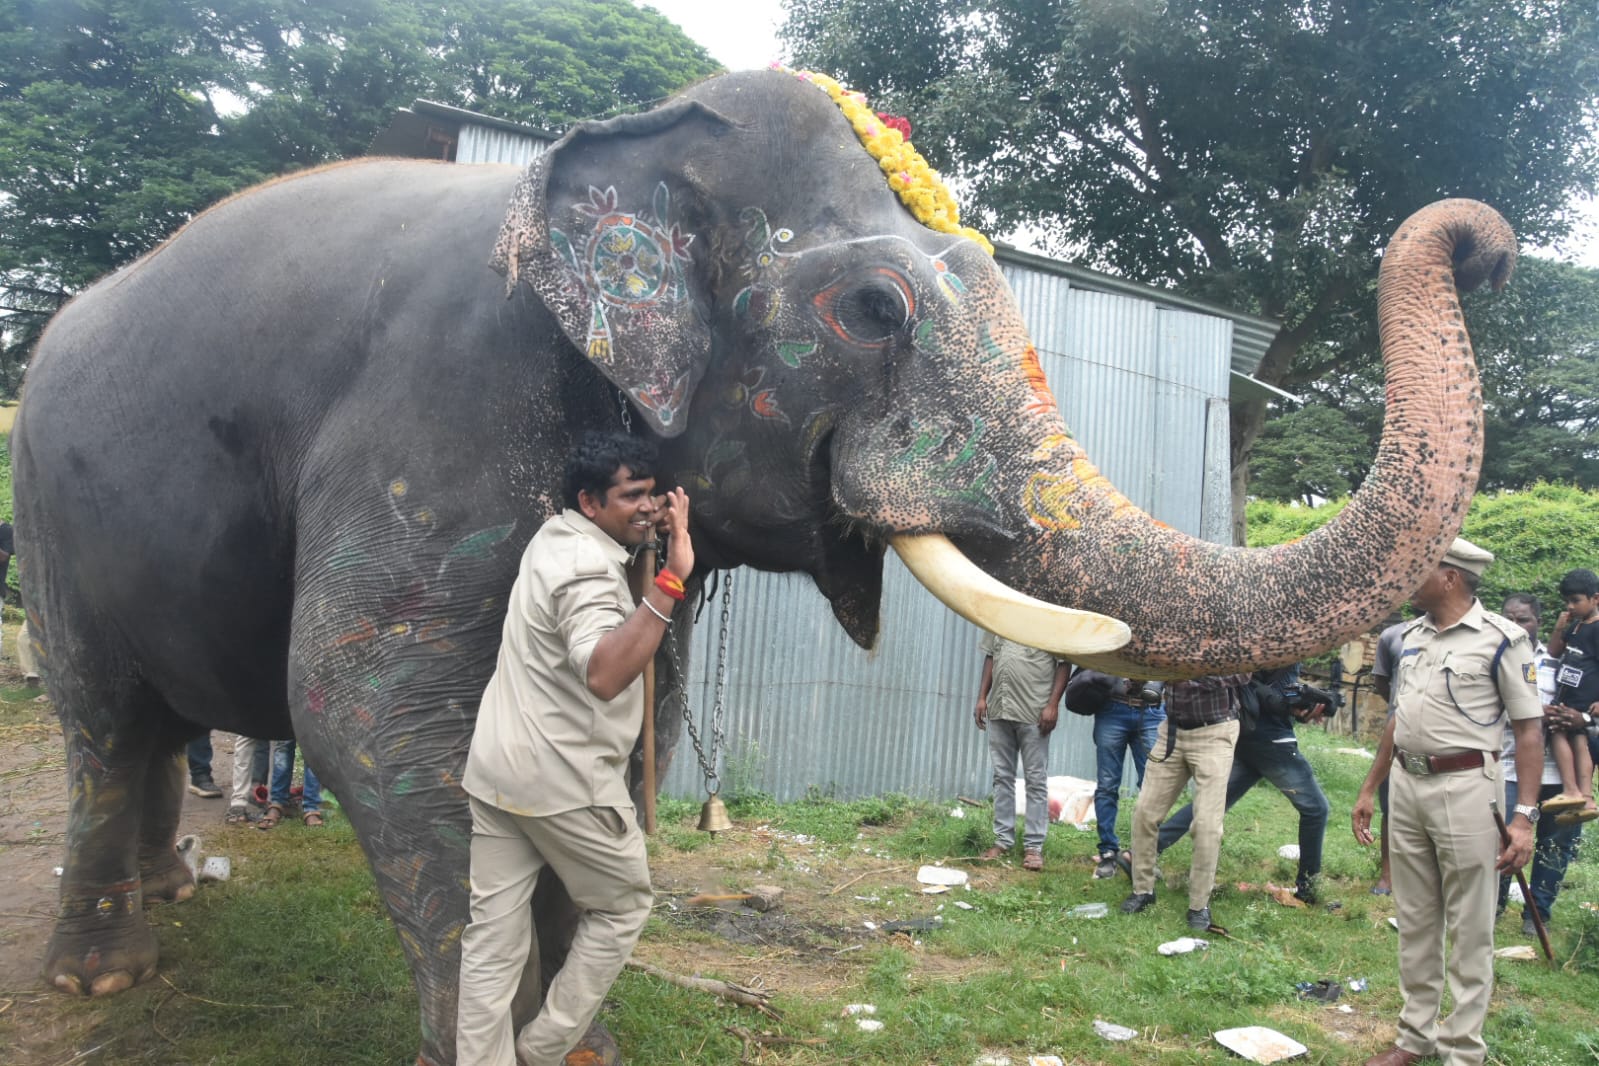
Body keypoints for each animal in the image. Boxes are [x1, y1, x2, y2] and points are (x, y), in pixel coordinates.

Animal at [12, 68, 1509, 1066]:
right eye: (873, 309)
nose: (1483, 242)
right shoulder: (435, 396)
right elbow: (372, 710)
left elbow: (635, 727)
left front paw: (580, 1042)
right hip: (48, 518)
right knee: (102, 721)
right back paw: (98, 977)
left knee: (147, 727)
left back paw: (159, 895)